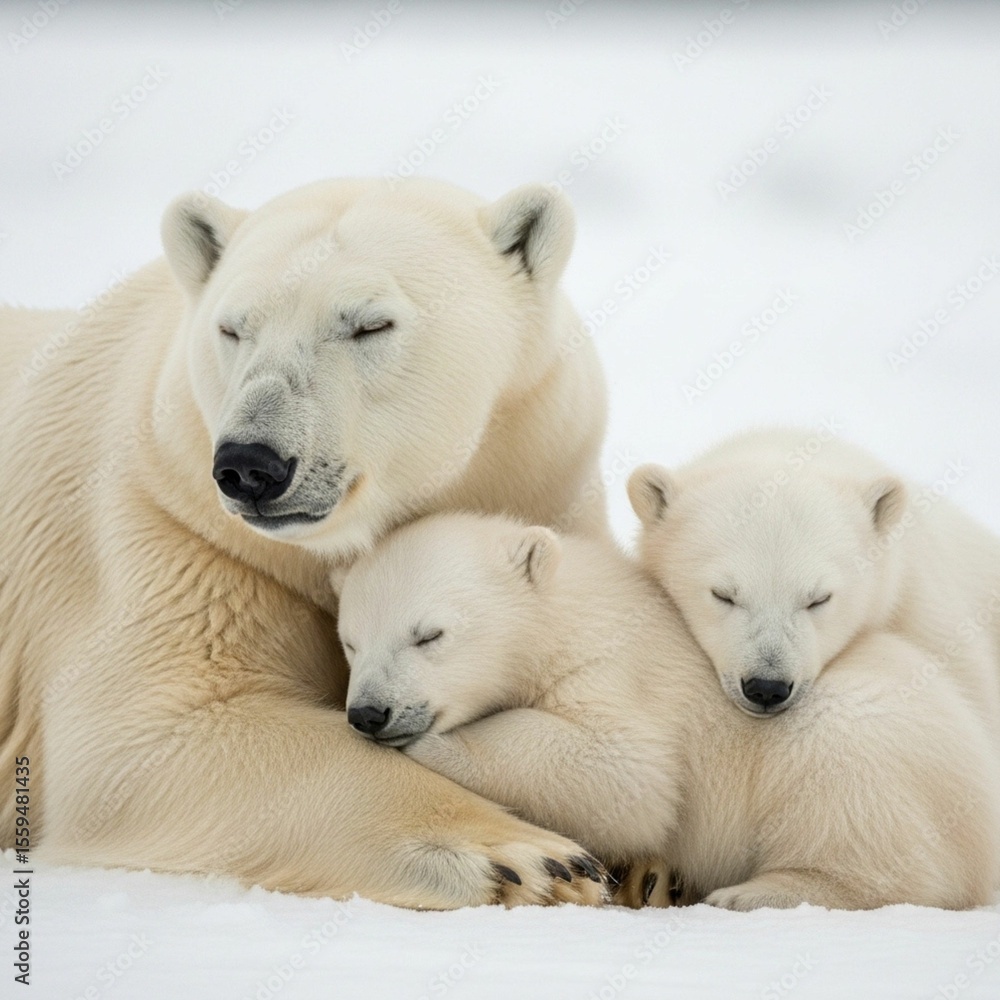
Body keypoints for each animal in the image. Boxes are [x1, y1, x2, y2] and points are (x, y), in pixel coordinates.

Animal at [0, 177, 612, 909]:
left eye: (370, 324)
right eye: (232, 327)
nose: (249, 464)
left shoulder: (548, 485)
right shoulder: (173, 534)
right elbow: (141, 739)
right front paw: (532, 859)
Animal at [338, 511, 1000, 911]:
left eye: (429, 635)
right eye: (349, 641)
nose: (369, 713)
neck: (568, 607)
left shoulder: (614, 666)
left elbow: (627, 774)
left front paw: (433, 744)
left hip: (871, 748)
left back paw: (748, 893)